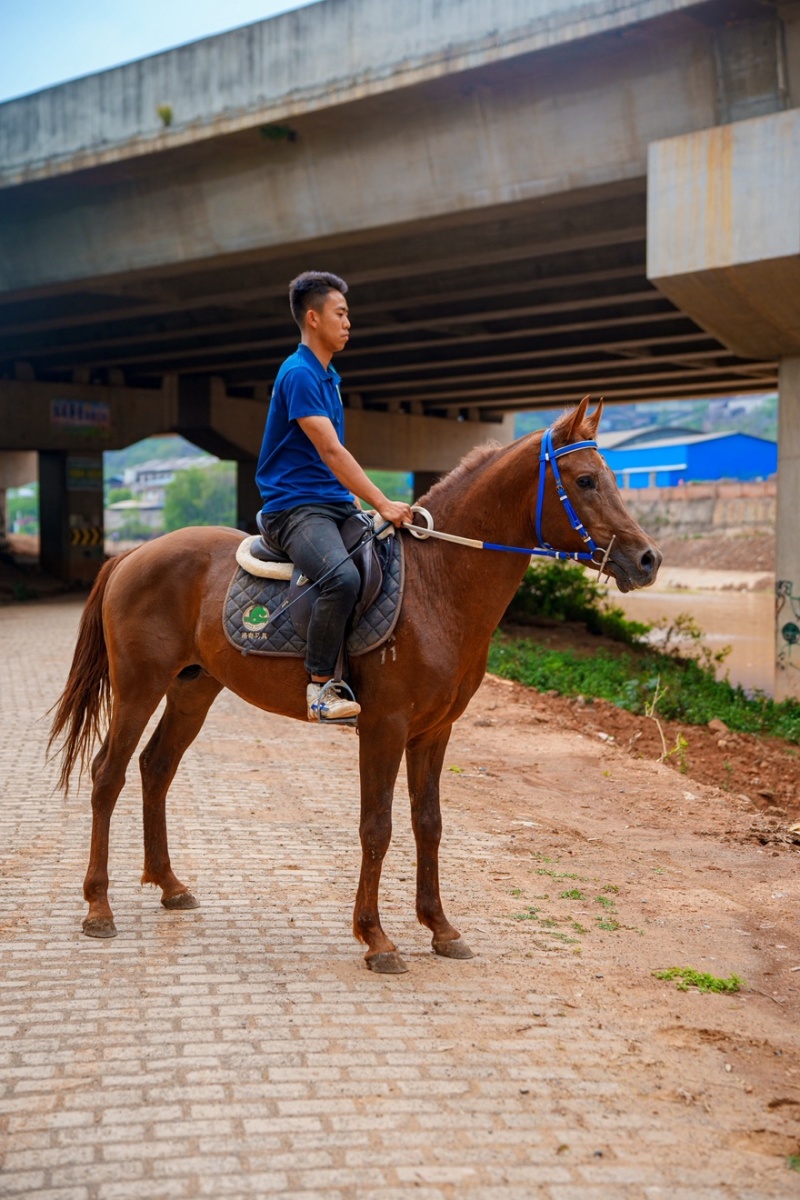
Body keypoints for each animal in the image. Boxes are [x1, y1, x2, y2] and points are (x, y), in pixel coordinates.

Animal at [49, 397, 660, 974]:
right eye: (586, 481)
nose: (648, 559)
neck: (439, 583)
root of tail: (134, 552)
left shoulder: (435, 731)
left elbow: (428, 824)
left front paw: (440, 928)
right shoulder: (384, 727)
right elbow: (377, 827)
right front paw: (376, 938)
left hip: (192, 690)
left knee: (156, 769)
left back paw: (169, 885)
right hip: (138, 687)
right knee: (107, 775)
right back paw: (98, 907)